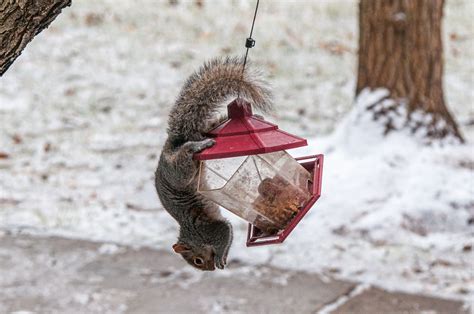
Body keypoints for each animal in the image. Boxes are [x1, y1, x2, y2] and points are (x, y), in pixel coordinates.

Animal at [156, 57, 272, 272]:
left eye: (197, 261)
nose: (210, 270)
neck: (193, 234)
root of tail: (171, 146)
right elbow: (229, 231)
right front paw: (223, 257)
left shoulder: (207, 229)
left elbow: (225, 230)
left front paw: (219, 258)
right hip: (204, 136)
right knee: (214, 125)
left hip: (180, 172)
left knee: (188, 153)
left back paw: (198, 146)